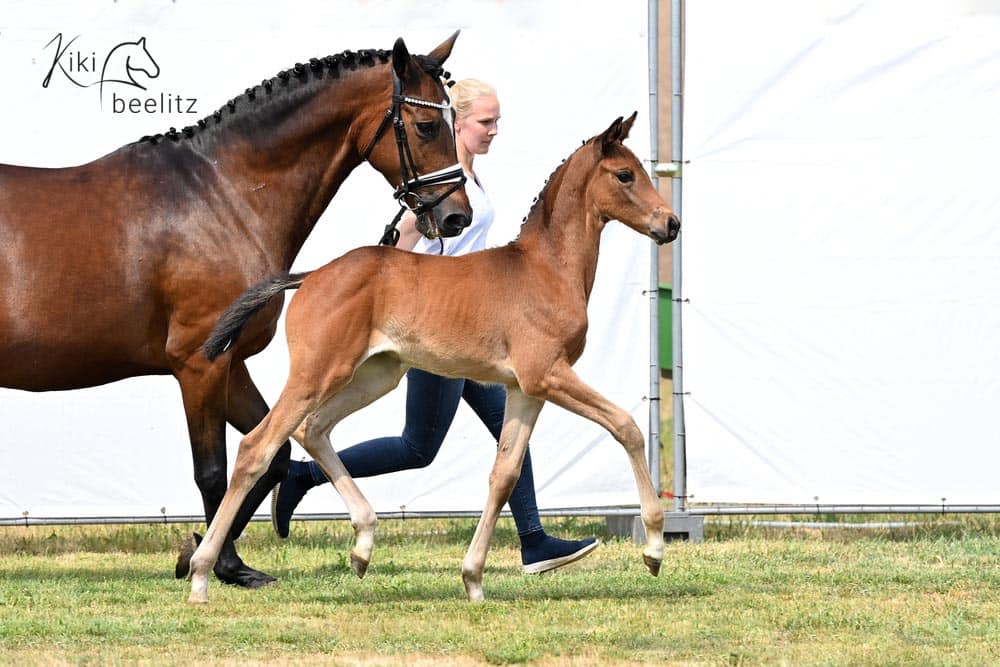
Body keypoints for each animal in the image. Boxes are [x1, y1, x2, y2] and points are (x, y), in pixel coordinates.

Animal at [189, 112, 680, 604]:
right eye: (625, 175)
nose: (672, 223)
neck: (547, 270)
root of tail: (309, 276)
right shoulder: (547, 374)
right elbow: (627, 426)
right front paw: (654, 548)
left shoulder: (524, 389)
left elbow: (505, 473)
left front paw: (473, 579)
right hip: (318, 373)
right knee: (257, 446)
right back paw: (200, 574)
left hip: (376, 375)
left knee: (314, 428)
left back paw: (362, 545)